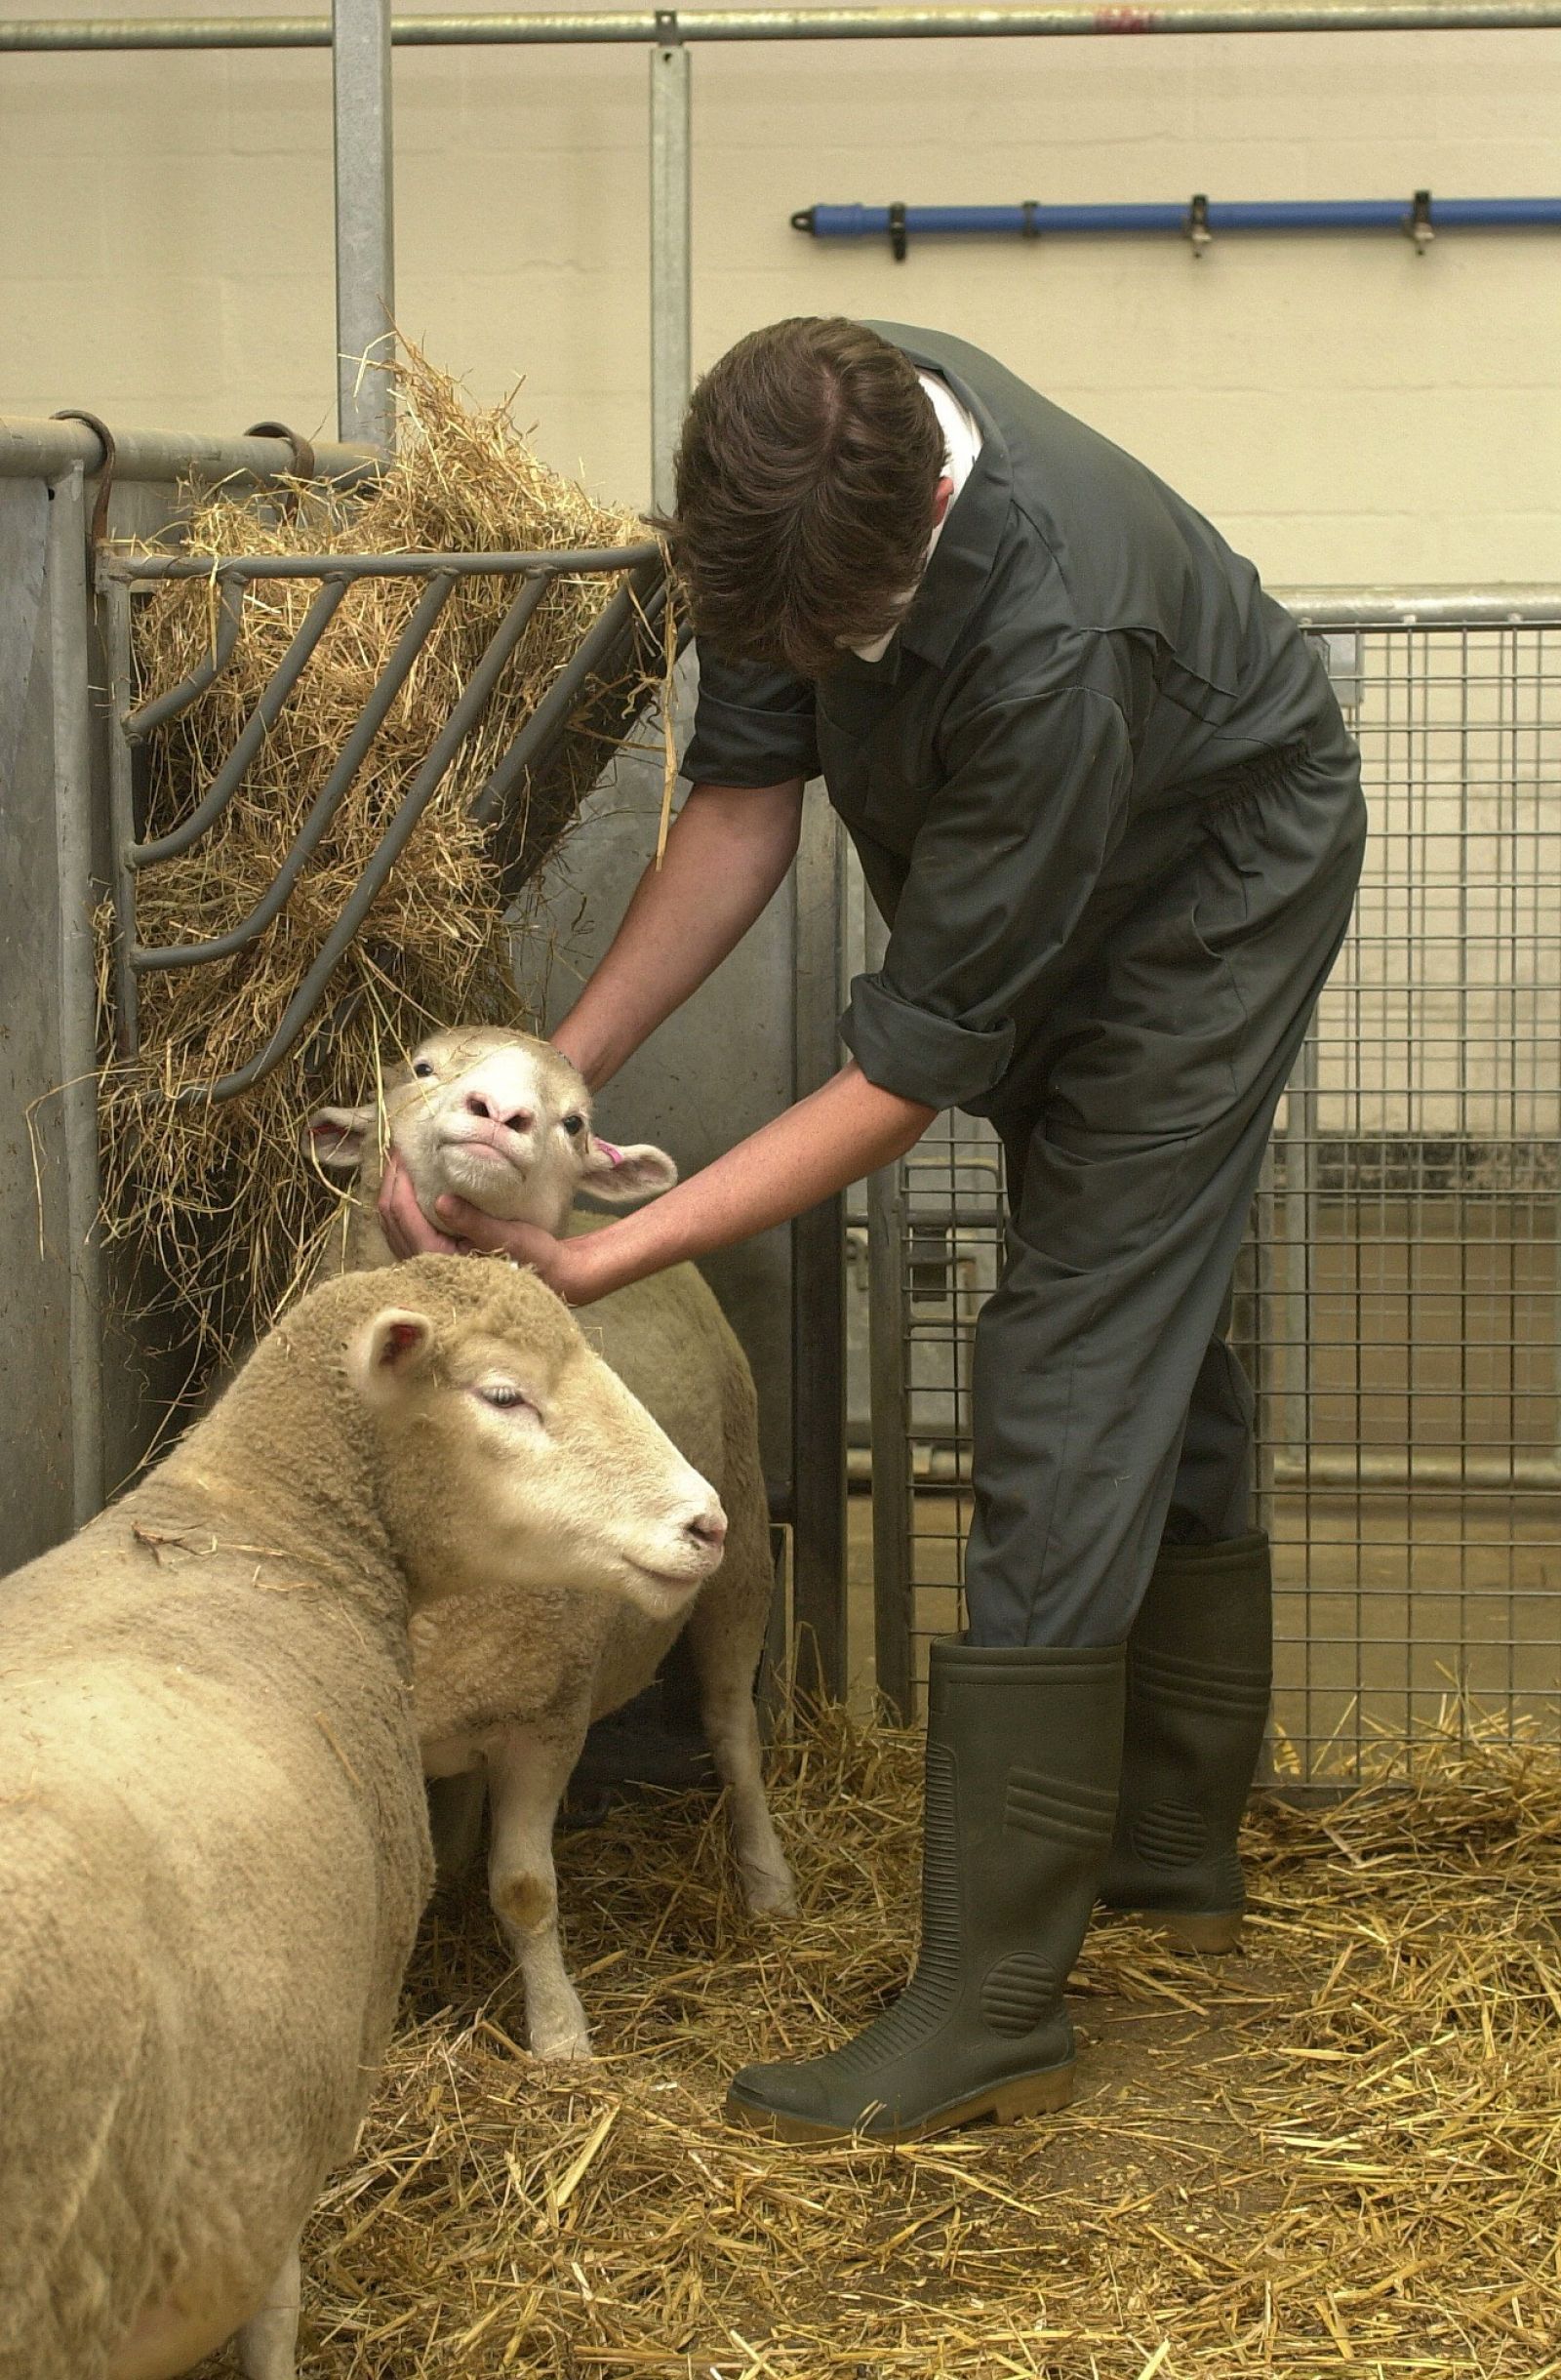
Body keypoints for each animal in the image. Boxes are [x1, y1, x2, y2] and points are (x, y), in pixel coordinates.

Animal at [306, 1028, 794, 2066]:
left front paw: (562, 2040)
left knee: (734, 1732)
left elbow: (526, 1891)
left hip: (738, 1550)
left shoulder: (550, 1718)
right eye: (420, 1066)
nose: (502, 1114)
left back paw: (769, 1883)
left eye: (576, 1121)